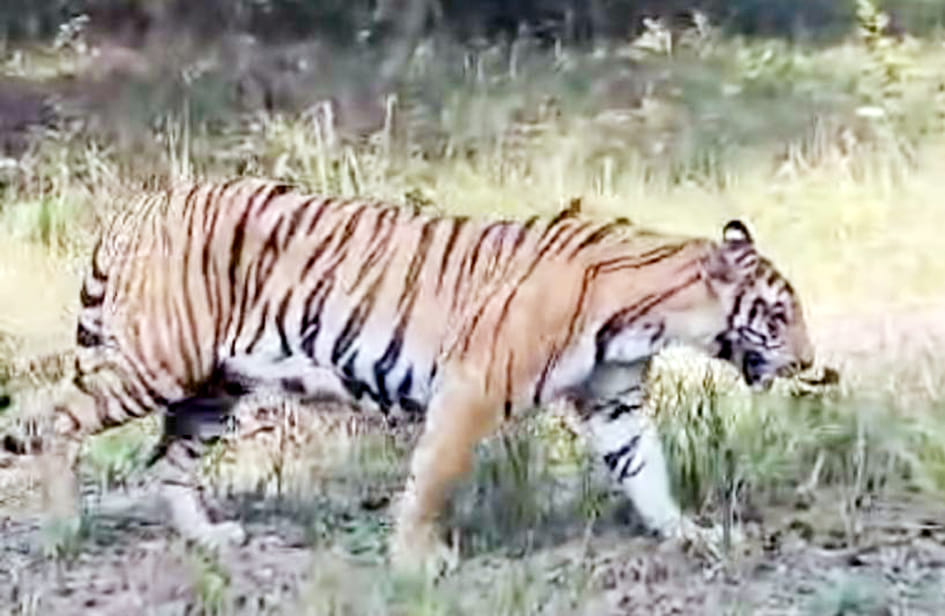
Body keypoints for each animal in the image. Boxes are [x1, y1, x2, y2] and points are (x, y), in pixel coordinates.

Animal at [1, 177, 819, 573]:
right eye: (779, 315)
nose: (813, 365)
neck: (651, 314)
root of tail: (138, 204)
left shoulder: (613, 406)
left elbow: (648, 475)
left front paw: (693, 535)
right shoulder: (472, 387)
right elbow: (434, 477)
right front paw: (415, 560)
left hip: (213, 384)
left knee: (169, 463)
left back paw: (210, 539)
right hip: (156, 360)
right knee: (49, 417)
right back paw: (64, 528)